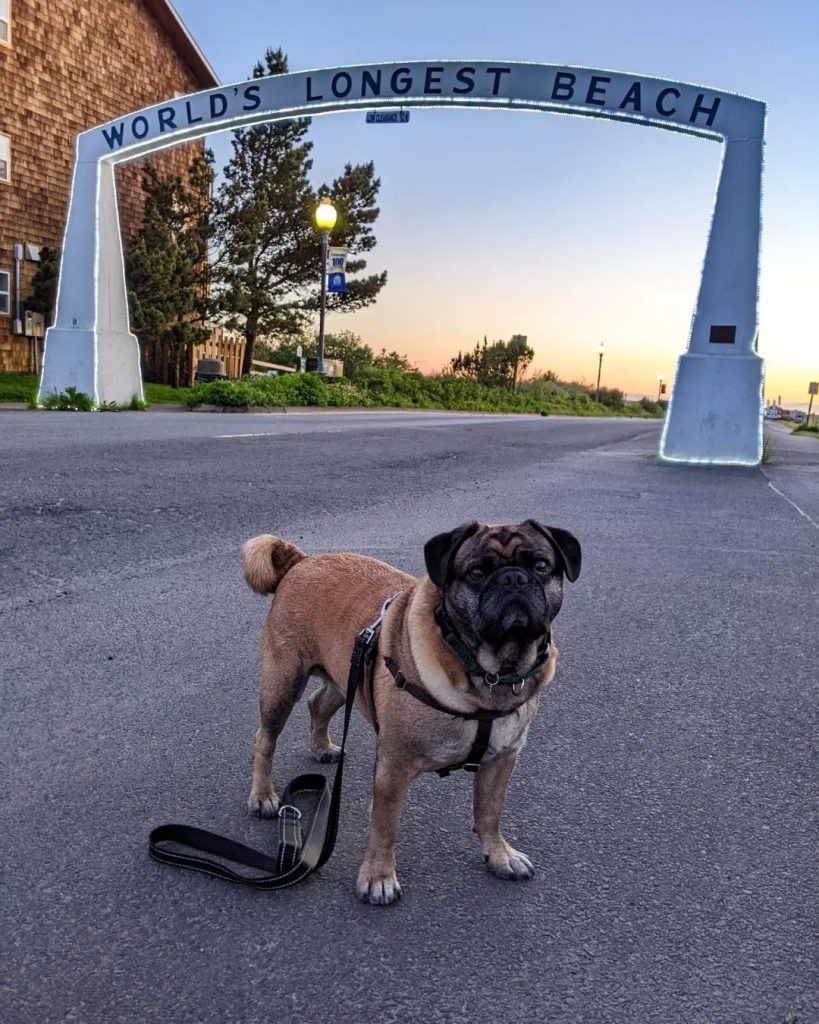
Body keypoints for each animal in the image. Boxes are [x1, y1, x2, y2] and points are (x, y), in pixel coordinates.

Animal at [239, 520, 577, 905]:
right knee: (265, 739)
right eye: (476, 573)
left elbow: (490, 811)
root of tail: (300, 560)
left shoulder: (502, 759)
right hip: (283, 683)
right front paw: (378, 877)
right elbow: (385, 826)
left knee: (319, 703)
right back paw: (262, 795)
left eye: (541, 566)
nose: (513, 578)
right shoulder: (393, 768)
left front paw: (499, 854)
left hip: (346, 677)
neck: (486, 673)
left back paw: (322, 747)